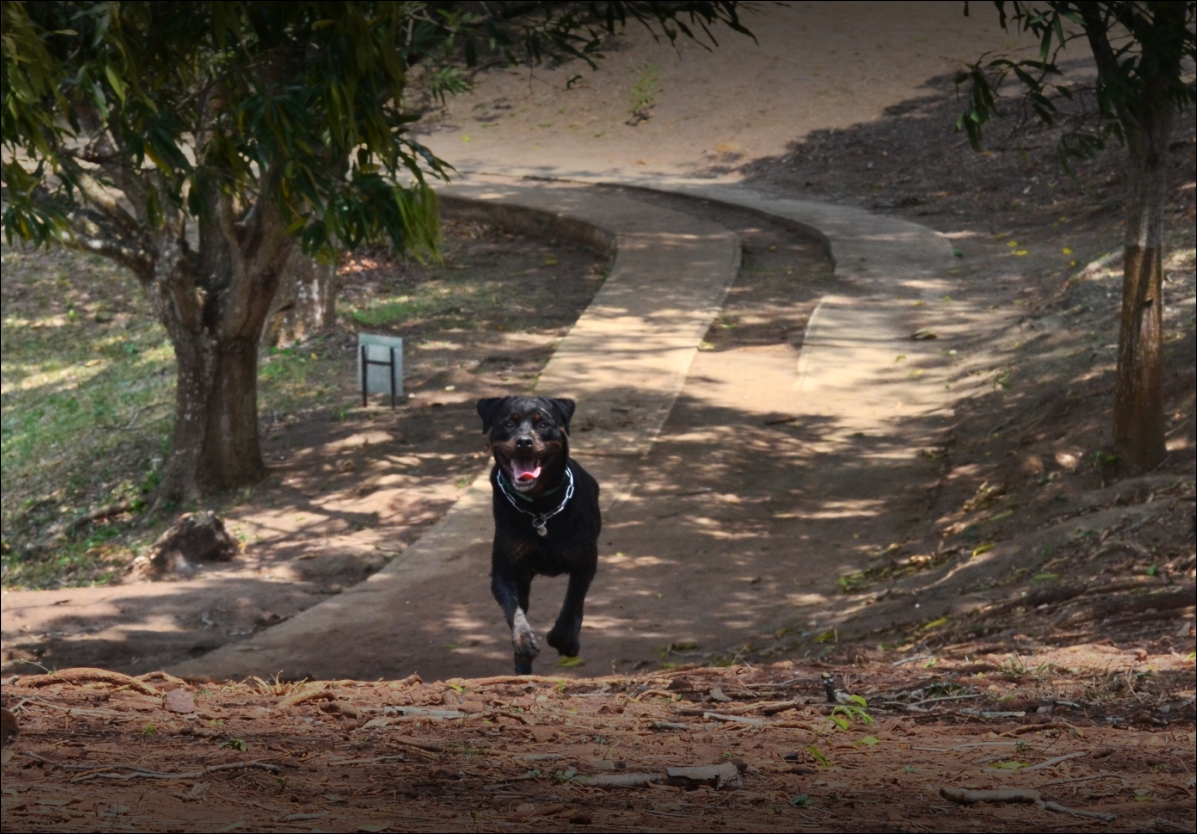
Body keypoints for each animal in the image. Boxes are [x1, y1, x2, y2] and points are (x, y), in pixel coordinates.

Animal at [478, 392, 603, 674]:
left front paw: (564, 641)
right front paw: (523, 640)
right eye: (509, 423)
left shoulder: (584, 561)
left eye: (543, 424)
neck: (539, 508)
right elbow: (514, 610)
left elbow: (571, 605)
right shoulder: (506, 571)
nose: (524, 441)